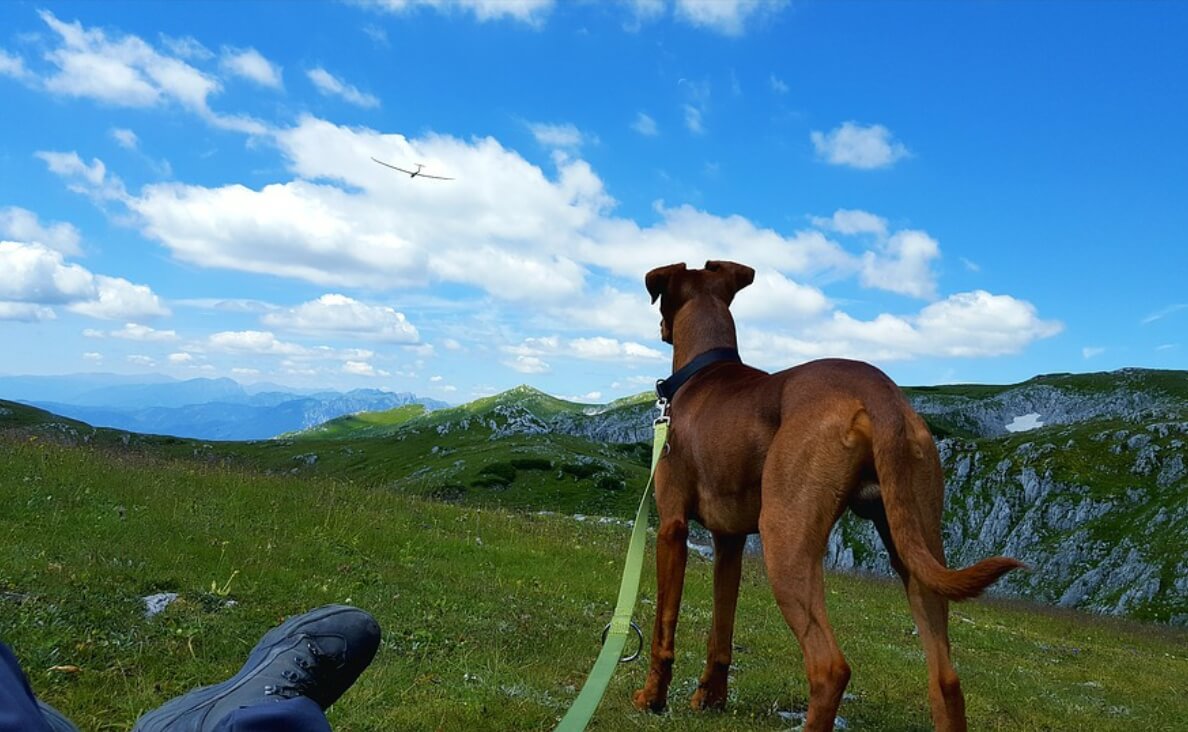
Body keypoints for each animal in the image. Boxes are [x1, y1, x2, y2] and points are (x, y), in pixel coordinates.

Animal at [636, 261, 1026, 732]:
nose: (658, 329)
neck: (704, 371)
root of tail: (879, 392)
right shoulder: (729, 542)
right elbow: (721, 632)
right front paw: (710, 698)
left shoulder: (672, 527)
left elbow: (664, 627)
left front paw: (652, 698)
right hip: (917, 545)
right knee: (946, 680)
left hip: (785, 539)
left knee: (830, 669)